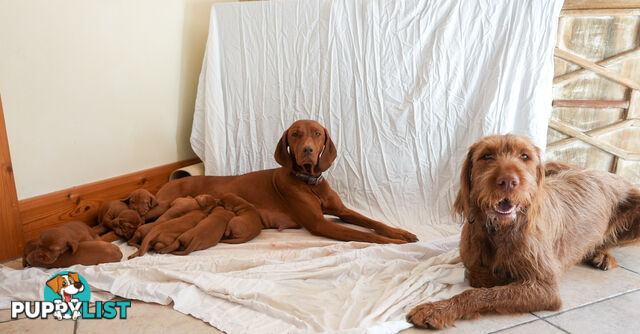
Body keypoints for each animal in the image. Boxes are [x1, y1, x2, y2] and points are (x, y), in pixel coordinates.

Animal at [146, 119, 416, 243]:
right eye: (295, 134)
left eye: (317, 133)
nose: (307, 150)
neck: (309, 182)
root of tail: (171, 181)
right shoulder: (320, 224)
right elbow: (366, 235)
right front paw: (393, 242)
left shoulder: (341, 211)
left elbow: (372, 222)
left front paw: (401, 232)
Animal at [408, 135, 640, 328]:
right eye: (487, 155)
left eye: (525, 156)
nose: (508, 181)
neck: (499, 231)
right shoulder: (472, 261)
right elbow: (478, 277)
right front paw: (498, 278)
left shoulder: (547, 289)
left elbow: (480, 294)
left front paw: (438, 309)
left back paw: (602, 254)